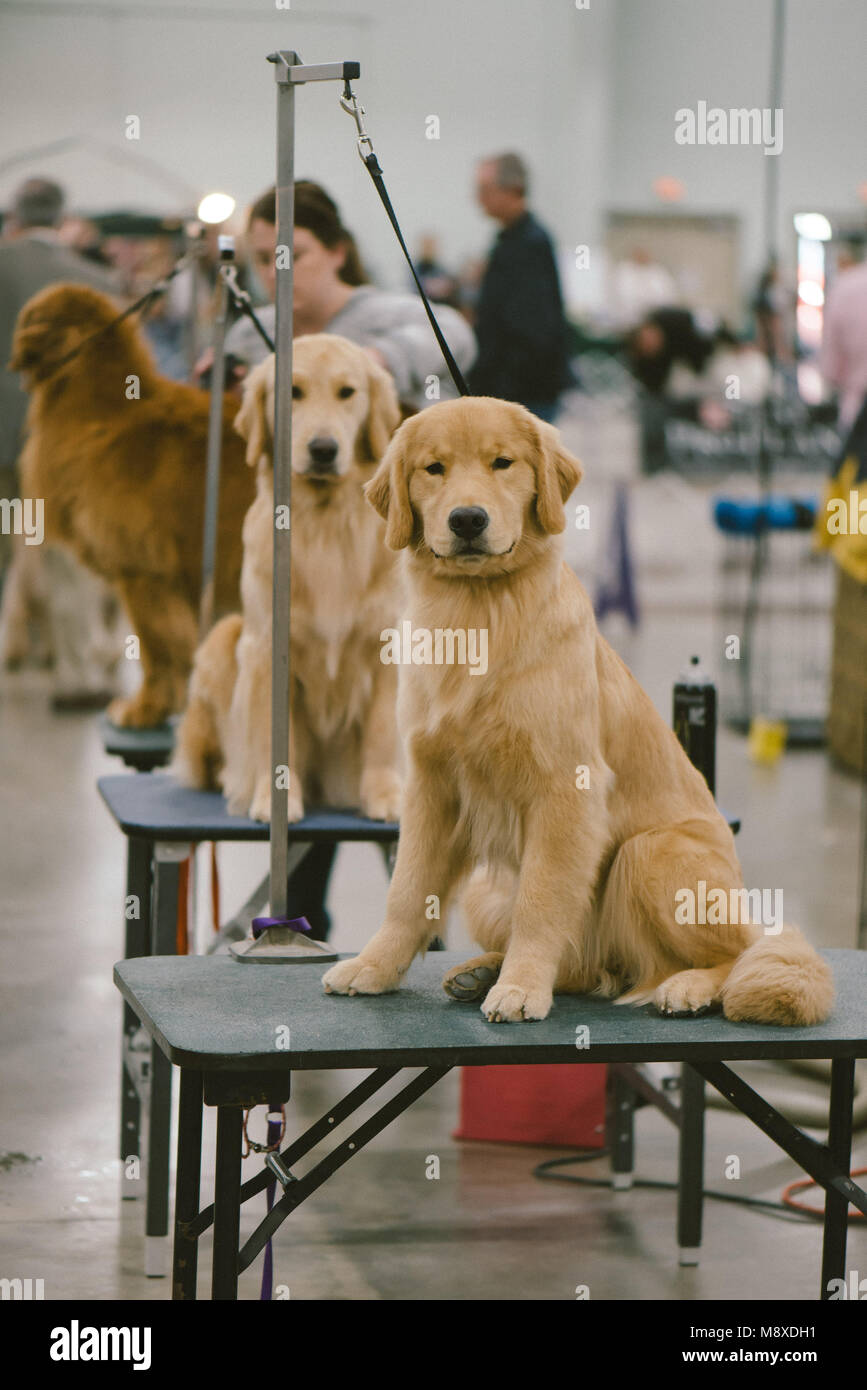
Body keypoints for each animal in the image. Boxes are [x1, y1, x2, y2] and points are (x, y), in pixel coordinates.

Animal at [174, 336, 408, 822]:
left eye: (347, 392)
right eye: (293, 393)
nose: (323, 449)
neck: (325, 524)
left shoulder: (387, 645)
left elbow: (381, 734)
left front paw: (386, 796)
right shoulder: (266, 648)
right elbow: (272, 742)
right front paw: (273, 798)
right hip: (225, 637)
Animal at [323, 397, 833, 1028]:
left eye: (502, 463)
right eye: (433, 469)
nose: (468, 520)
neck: (479, 612)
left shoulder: (565, 789)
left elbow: (542, 902)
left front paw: (520, 988)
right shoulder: (431, 786)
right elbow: (408, 891)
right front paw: (374, 966)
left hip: (652, 853)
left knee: (738, 952)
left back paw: (687, 986)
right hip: (491, 889)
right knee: (583, 969)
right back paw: (482, 970)